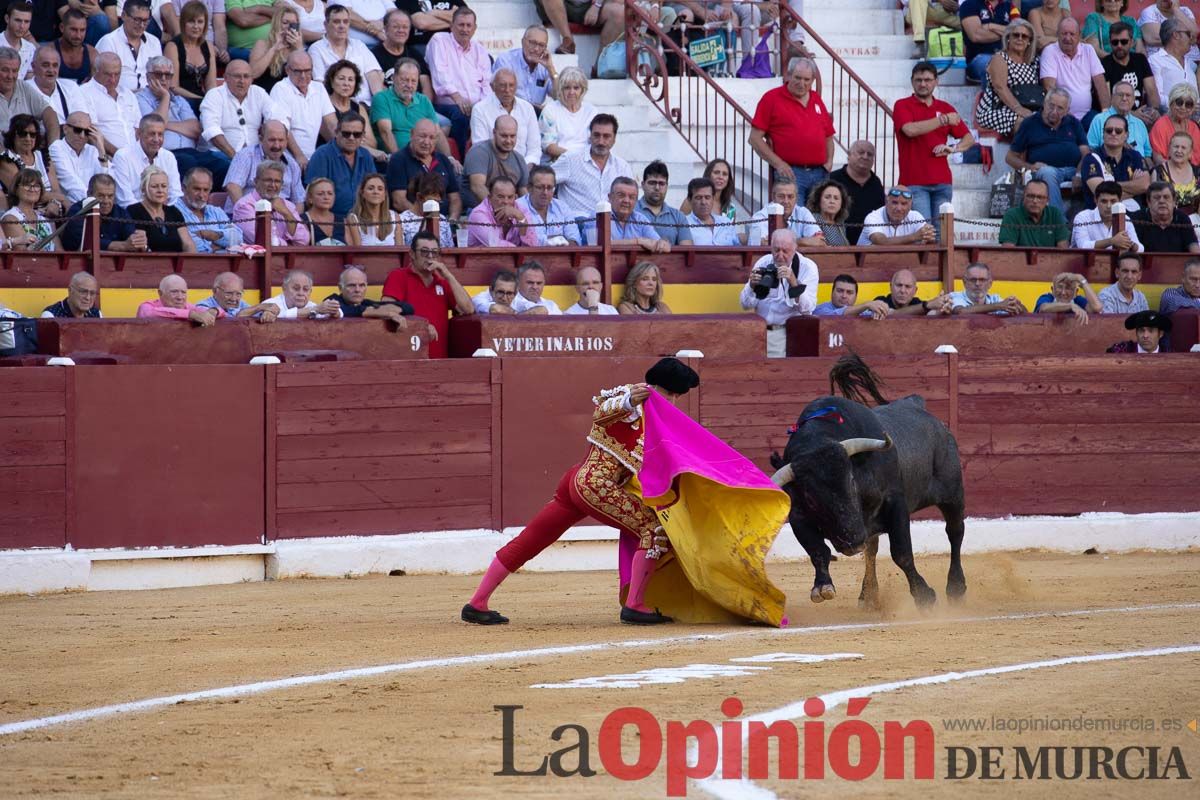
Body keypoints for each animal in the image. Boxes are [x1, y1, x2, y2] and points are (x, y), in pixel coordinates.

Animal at [768, 357, 964, 606]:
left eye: (851, 482)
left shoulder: (895, 502)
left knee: (955, 531)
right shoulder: (798, 517)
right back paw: (868, 595)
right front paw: (822, 586)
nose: (852, 542)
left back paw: (956, 587)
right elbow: (818, 551)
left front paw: (923, 595)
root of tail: (917, 404)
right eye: (810, 498)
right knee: (871, 549)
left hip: (953, 493)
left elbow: (901, 552)